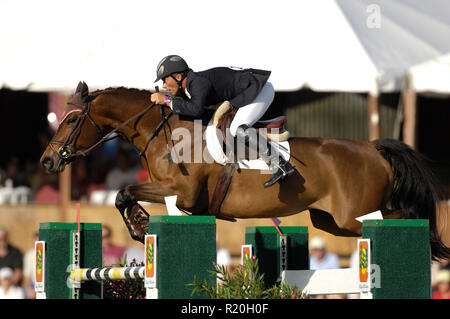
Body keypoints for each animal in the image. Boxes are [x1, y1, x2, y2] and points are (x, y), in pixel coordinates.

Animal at [39, 81, 450, 262]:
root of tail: (372, 147)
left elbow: (124, 191)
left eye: (72, 118)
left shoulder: (181, 192)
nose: (47, 162)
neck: (163, 132)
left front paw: (139, 226)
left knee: (405, 221)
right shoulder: (176, 197)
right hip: (332, 221)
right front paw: (140, 225)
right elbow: (123, 194)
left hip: (355, 216)